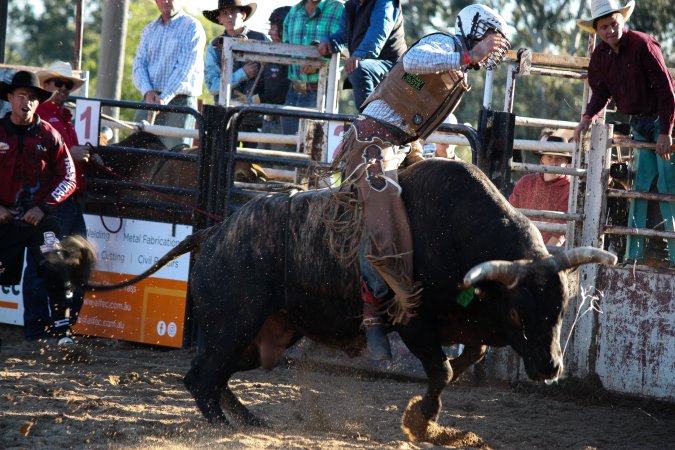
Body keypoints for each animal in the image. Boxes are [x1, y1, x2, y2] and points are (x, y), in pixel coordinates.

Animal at [87, 158, 616, 439]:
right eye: (520, 310)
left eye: (561, 310)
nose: (549, 367)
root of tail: (213, 233)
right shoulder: (412, 322)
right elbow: (443, 370)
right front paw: (421, 419)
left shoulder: (469, 329)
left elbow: (464, 362)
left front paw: (426, 415)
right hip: (232, 324)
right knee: (202, 379)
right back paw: (228, 427)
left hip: (259, 341)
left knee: (211, 378)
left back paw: (251, 420)